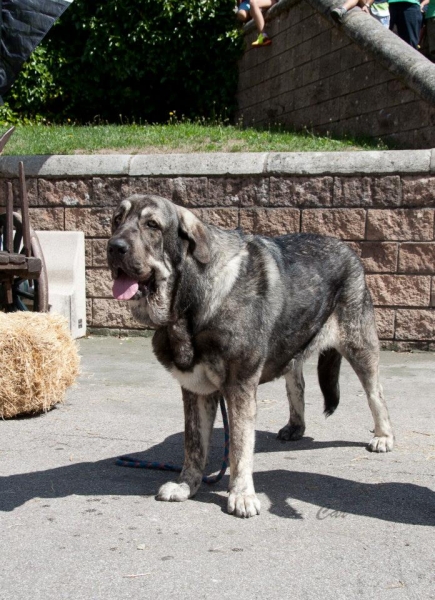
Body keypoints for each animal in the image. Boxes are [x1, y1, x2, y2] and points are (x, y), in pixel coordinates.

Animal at [108, 195, 396, 516]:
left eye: (152, 225)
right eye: (117, 220)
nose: (114, 247)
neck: (192, 300)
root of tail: (348, 248)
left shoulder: (240, 385)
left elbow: (240, 445)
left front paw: (242, 494)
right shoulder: (196, 389)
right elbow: (193, 444)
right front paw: (187, 484)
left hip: (360, 345)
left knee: (375, 393)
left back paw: (383, 436)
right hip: (292, 344)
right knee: (297, 385)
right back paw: (295, 426)